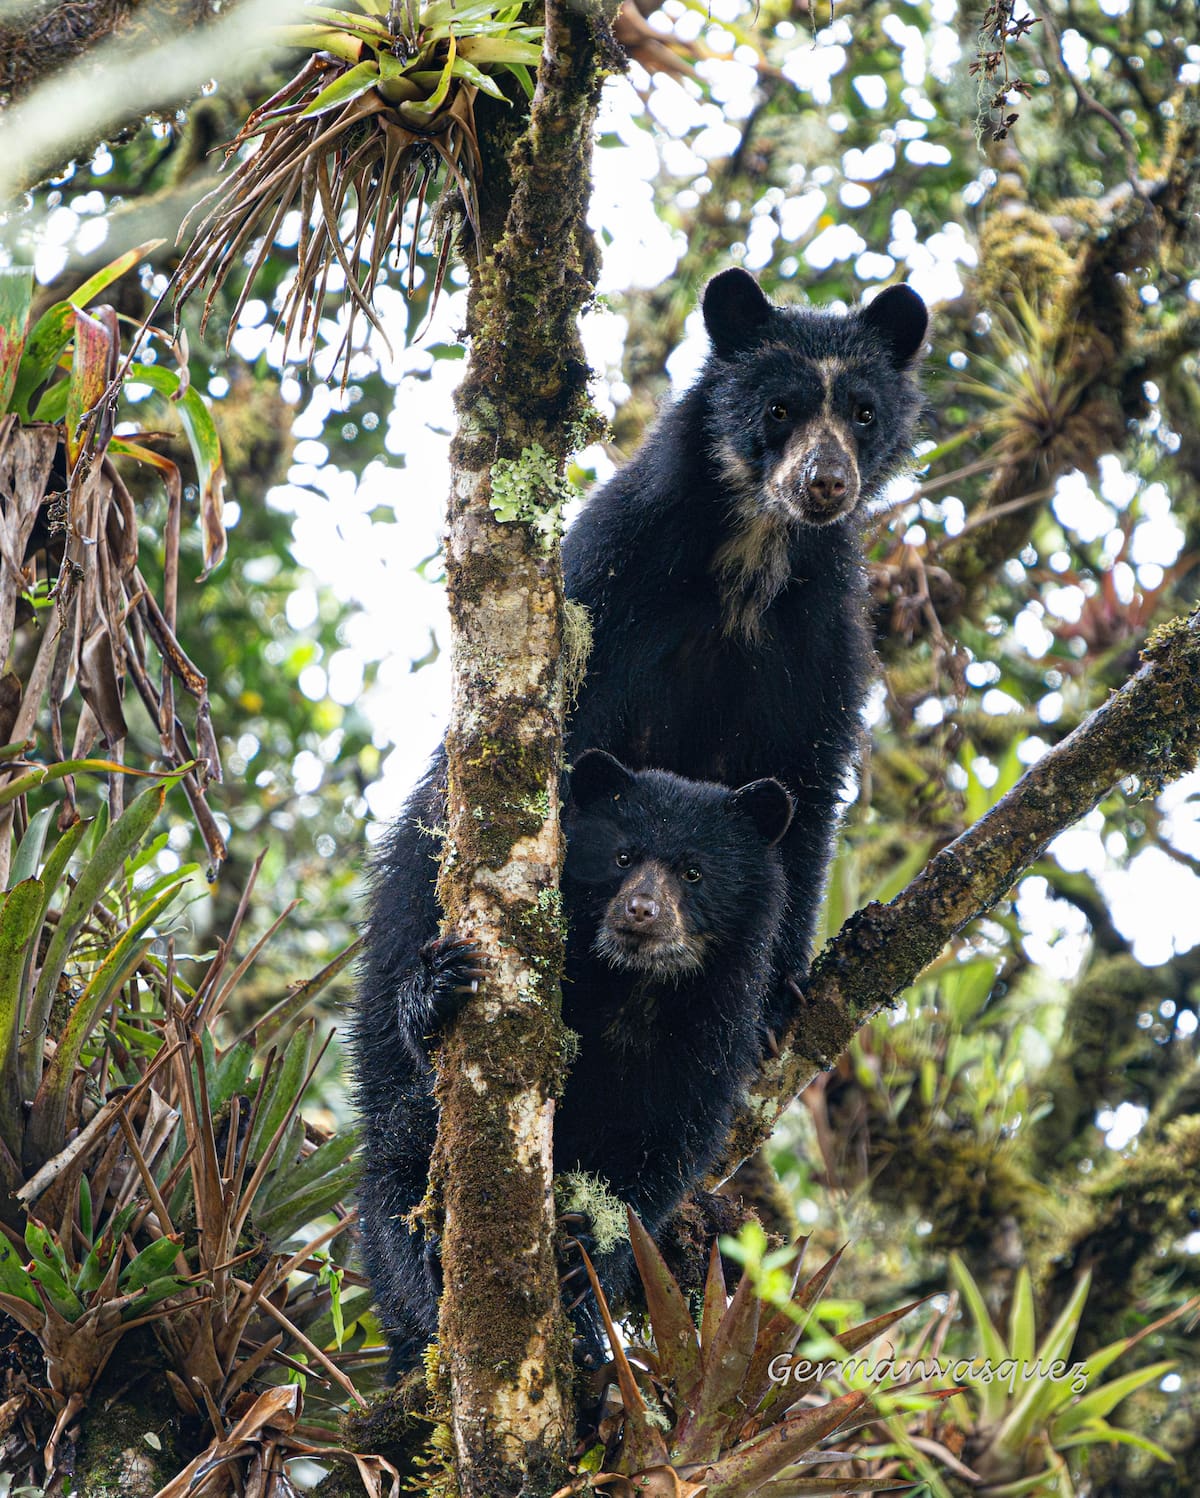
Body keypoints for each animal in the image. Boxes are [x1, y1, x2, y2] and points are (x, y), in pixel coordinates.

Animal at [353, 750, 792, 1374]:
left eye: (694, 872)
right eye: (623, 856)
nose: (641, 911)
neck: (633, 987)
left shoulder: (713, 1043)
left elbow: (667, 1152)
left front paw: (590, 1259)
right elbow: (428, 1080)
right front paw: (439, 984)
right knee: (398, 1190)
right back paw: (430, 1272)